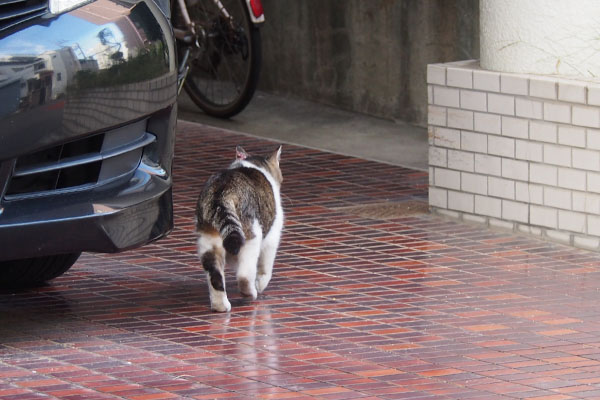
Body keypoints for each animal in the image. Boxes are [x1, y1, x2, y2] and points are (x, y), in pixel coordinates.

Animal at [195, 145, 284, 312]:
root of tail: (222, 193)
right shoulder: (272, 237)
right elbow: (265, 269)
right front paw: (260, 284)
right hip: (252, 235)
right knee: (244, 275)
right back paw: (250, 293)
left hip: (208, 241)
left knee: (215, 275)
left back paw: (221, 306)